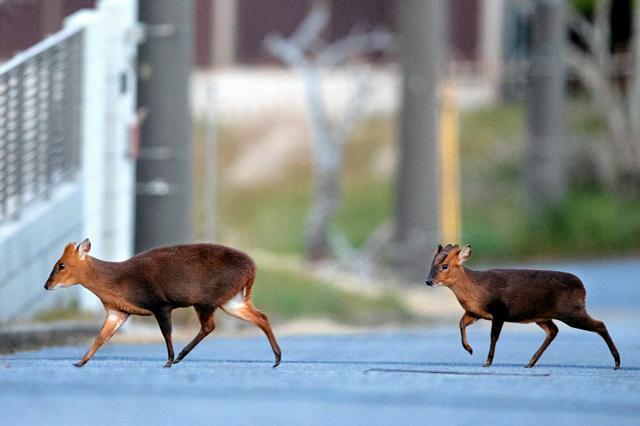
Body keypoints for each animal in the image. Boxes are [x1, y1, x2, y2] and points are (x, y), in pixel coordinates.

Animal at [45, 241, 282, 368]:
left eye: (61, 265)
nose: (47, 285)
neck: (116, 280)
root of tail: (252, 269)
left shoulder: (160, 304)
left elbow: (166, 332)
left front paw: (168, 360)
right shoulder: (117, 312)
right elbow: (101, 338)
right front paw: (80, 362)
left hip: (206, 299)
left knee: (209, 326)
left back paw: (178, 358)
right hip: (231, 300)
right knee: (261, 317)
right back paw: (277, 358)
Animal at [424, 245, 620, 368]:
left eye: (444, 266)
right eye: (431, 265)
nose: (428, 281)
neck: (477, 290)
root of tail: (583, 287)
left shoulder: (499, 310)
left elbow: (493, 337)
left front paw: (487, 361)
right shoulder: (474, 312)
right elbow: (461, 324)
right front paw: (469, 349)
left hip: (571, 310)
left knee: (600, 324)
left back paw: (617, 362)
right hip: (543, 315)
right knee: (553, 330)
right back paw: (530, 362)